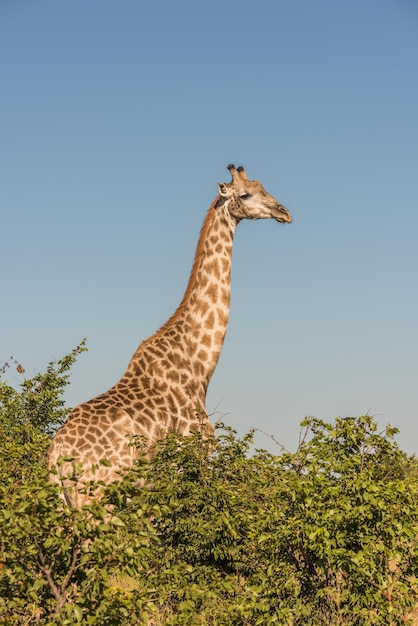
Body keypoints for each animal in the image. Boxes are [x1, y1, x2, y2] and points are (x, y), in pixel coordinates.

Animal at [48, 163, 290, 504]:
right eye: (245, 195)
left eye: (263, 187)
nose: (284, 212)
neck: (200, 364)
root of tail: (56, 456)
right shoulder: (193, 461)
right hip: (96, 497)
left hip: (62, 502)